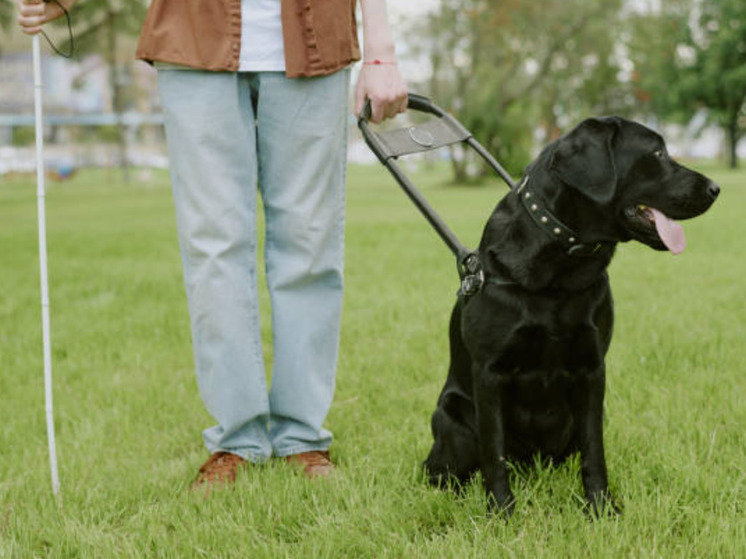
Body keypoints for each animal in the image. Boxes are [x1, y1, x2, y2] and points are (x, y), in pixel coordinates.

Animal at [422, 117, 716, 516]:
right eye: (657, 153)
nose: (716, 188)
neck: (562, 266)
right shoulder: (489, 373)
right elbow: (494, 453)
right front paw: (501, 512)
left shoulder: (592, 370)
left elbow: (594, 449)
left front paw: (600, 507)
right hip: (452, 417)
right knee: (446, 471)